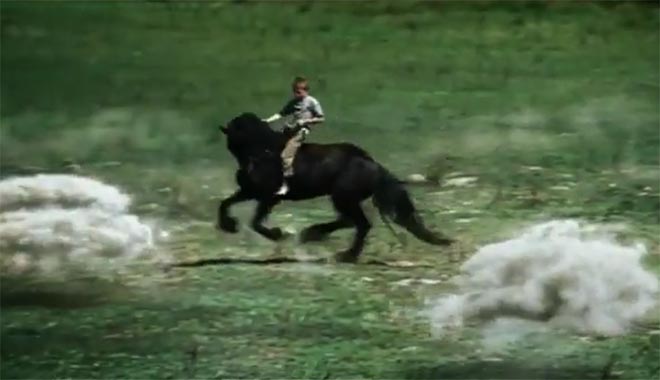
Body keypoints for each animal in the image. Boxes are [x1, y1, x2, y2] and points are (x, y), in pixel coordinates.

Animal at [218, 111, 454, 262]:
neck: (260, 150)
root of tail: (374, 165)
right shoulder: (250, 192)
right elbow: (226, 203)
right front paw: (229, 226)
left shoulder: (269, 196)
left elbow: (256, 222)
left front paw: (278, 234)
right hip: (343, 198)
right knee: (350, 221)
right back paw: (317, 236)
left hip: (342, 197)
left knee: (360, 224)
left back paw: (343, 253)